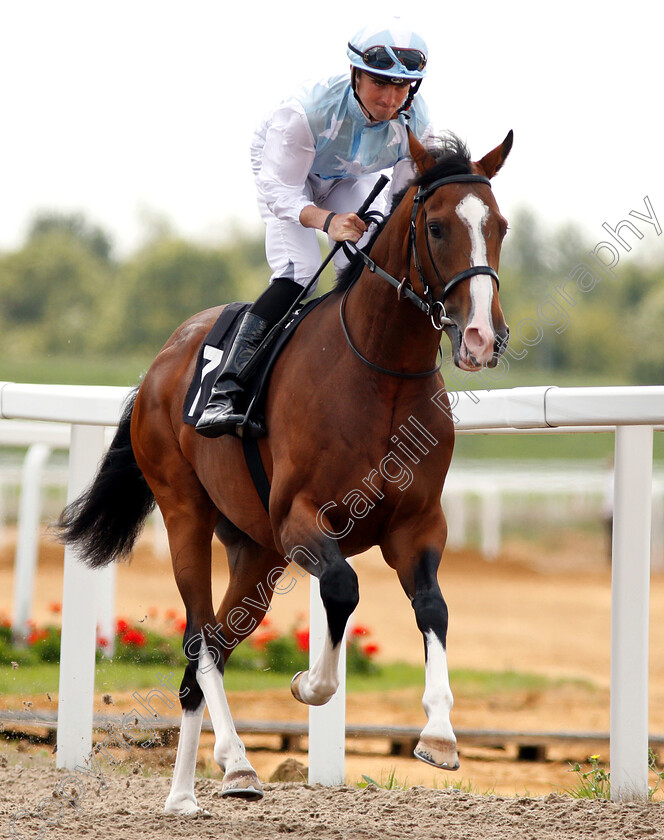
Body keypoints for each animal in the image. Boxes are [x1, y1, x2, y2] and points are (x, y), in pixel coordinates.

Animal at [57, 131, 512, 812]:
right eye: (435, 227)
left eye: (500, 227)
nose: (483, 337)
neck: (379, 375)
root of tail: (159, 364)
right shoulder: (301, 520)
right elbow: (342, 590)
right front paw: (309, 684)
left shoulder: (416, 526)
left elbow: (433, 607)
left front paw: (439, 733)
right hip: (186, 514)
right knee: (199, 638)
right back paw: (235, 762)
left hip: (256, 552)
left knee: (211, 650)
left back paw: (188, 792)